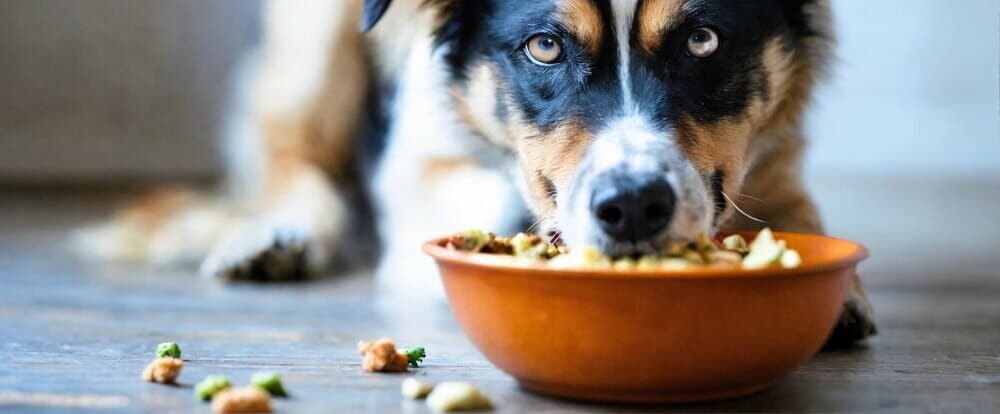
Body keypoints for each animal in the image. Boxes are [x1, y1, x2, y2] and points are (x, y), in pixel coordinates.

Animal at [76, 0, 876, 346]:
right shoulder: (419, 159)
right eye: (544, 47)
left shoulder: (777, 159)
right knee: (292, 158)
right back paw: (277, 235)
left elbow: (799, 217)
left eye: (703, 40)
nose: (633, 209)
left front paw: (833, 292)